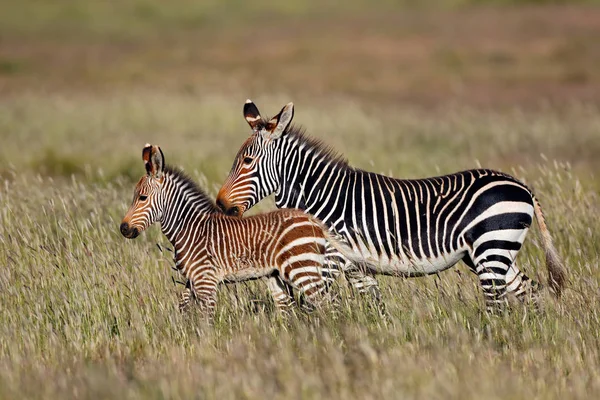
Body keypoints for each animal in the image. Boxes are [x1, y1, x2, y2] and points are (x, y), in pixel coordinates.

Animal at [120, 144, 346, 316]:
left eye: (142, 198)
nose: (123, 229)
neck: (190, 227)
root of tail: (313, 220)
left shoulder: (206, 280)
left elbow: (206, 319)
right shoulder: (192, 279)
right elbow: (183, 308)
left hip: (302, 268)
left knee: (329, 304)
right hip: (280, 275)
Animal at [216, 100, 568, 310]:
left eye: (247, 161)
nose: (220, 204)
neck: (321, 197)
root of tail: (522, 186)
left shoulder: (330, 260)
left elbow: (311, 305)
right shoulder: (356, 265)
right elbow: (374, 307)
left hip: (491, 249)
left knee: (498, 305)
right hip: (492, 253)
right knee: (531, 292)